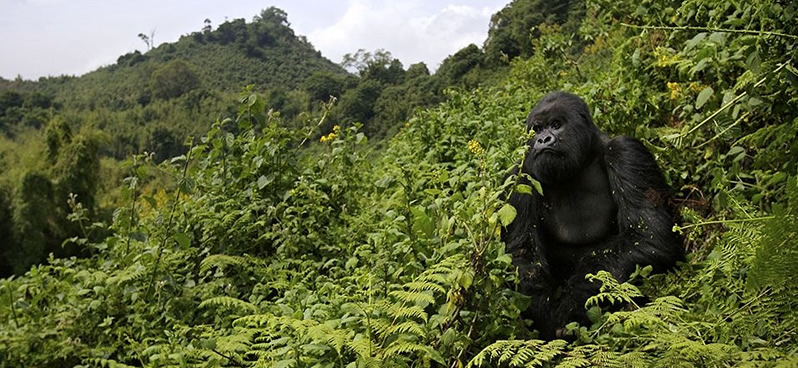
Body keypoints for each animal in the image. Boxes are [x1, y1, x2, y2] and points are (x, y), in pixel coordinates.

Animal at [504, 92, 684, 340]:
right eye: (537, 129)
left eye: (556, 125)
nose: (543, 140)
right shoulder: (520, 176)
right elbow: (523, 256)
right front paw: (548, 319)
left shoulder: (626, 152)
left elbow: (649, 237)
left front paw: (570, 311)